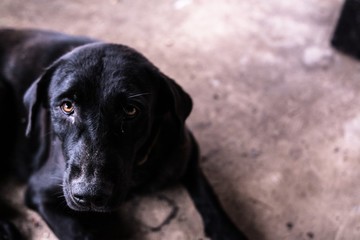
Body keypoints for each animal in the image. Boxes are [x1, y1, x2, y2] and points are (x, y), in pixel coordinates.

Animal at [0, 29, 248, 239]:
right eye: (67, 106)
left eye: (130, 110)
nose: (90, 195)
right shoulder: (41, 193)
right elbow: (80, 234)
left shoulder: (188, 151)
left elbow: (209, 198)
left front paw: (228, 232)